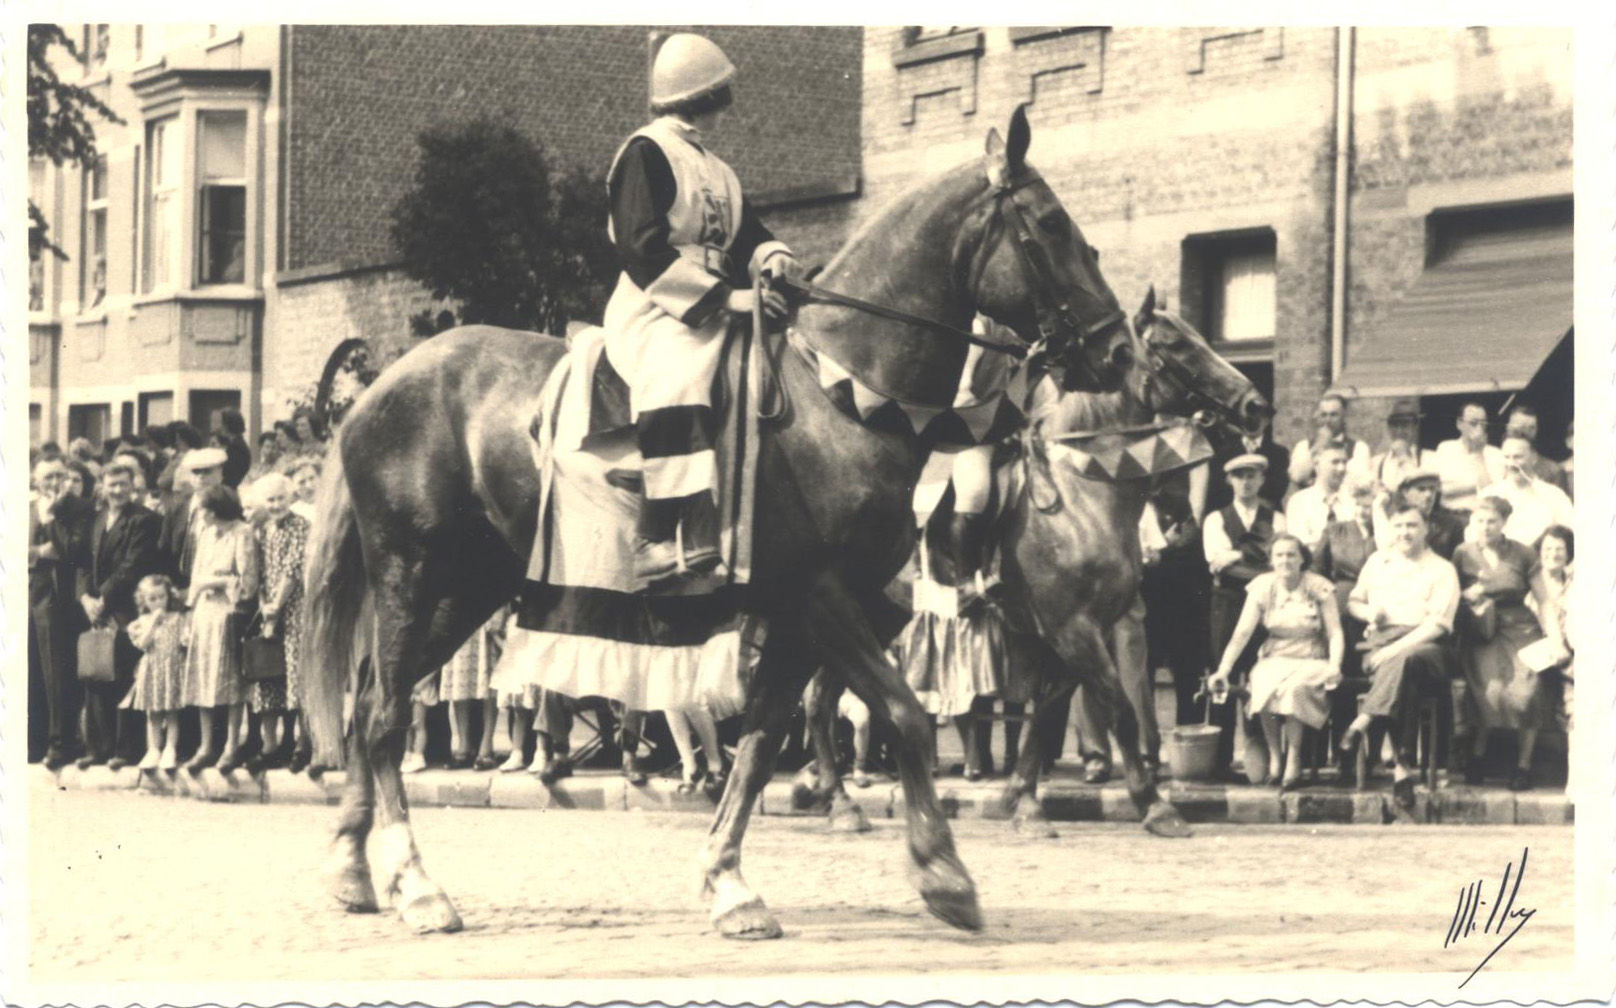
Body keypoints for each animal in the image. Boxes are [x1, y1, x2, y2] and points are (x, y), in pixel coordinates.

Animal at [791, 289, 1260, 833]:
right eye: (1177, 344)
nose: (1254, 404)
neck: (1084, 491)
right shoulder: (1073, 629)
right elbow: (1118, 708)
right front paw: (1156, 805)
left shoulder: (1077, 631)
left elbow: (1047, 713)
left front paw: (1024, 801)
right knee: (819, 700)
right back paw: (837, 799)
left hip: (876, 617)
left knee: (822, 697)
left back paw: (833, 795)